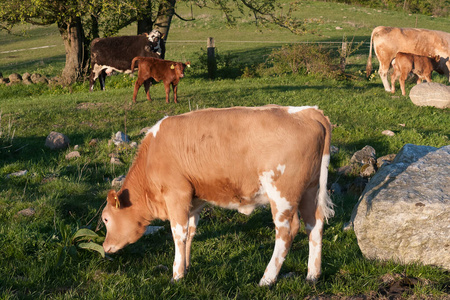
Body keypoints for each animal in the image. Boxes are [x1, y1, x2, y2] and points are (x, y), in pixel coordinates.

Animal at [102, 105, 334, 286]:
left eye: (105, 219)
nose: (105, 247)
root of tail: (308, 112)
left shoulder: (176, 194)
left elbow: (178, 234)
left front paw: (176, 275)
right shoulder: (194, 200)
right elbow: (191, 232)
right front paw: (186, 267)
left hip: (282, 193)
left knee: (287, 231)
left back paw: (267, 279)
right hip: (310, 189)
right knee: (314, 225)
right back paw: (312, 275)